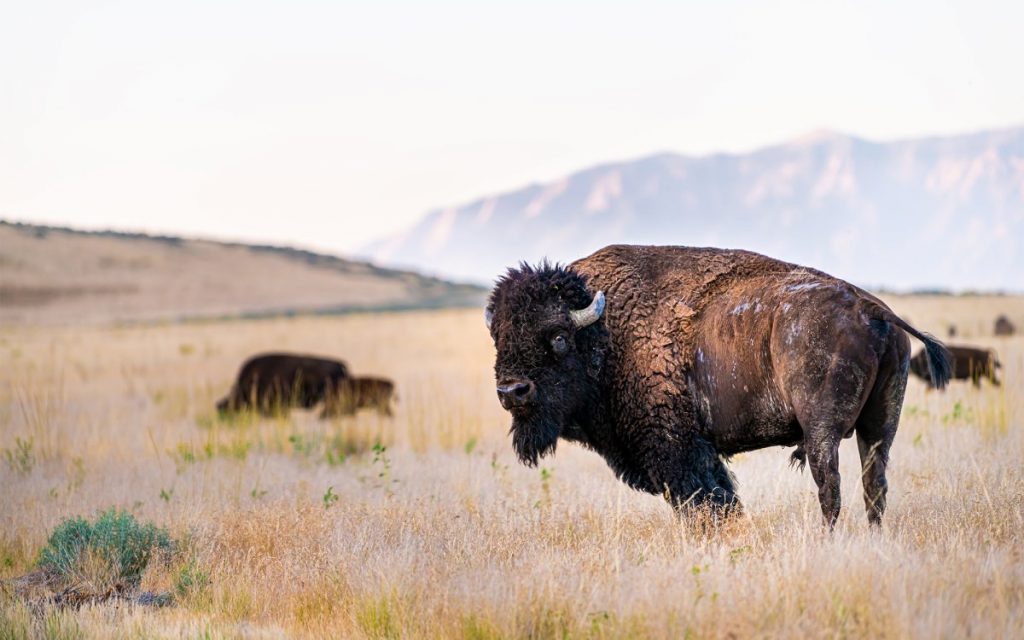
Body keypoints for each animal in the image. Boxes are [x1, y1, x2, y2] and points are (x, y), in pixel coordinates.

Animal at [485, 245, 951, 527]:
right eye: (499, 338)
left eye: (558, 337)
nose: (511, 392)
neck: (606, 330)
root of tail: (874, 309)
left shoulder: (680, 452)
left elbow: (708, 503)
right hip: (880, 425)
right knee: (875, 486)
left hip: (823, 432)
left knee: (830, 488)